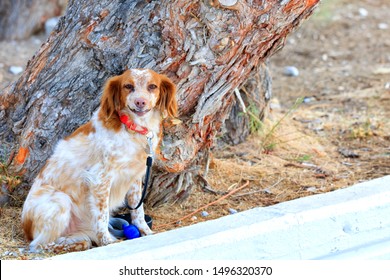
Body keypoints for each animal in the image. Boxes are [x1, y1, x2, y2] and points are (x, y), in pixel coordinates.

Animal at [21, 68, 177, 252]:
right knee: (39, 245)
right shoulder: (100, 178)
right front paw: (107, 241)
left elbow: (138, 210)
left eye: (152, 86)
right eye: (128, 86)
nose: (140, 102)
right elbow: (102, 215)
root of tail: (26, 228)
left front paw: (146, 232)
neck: (133, 128)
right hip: (60, 201)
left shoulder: (135, 176)